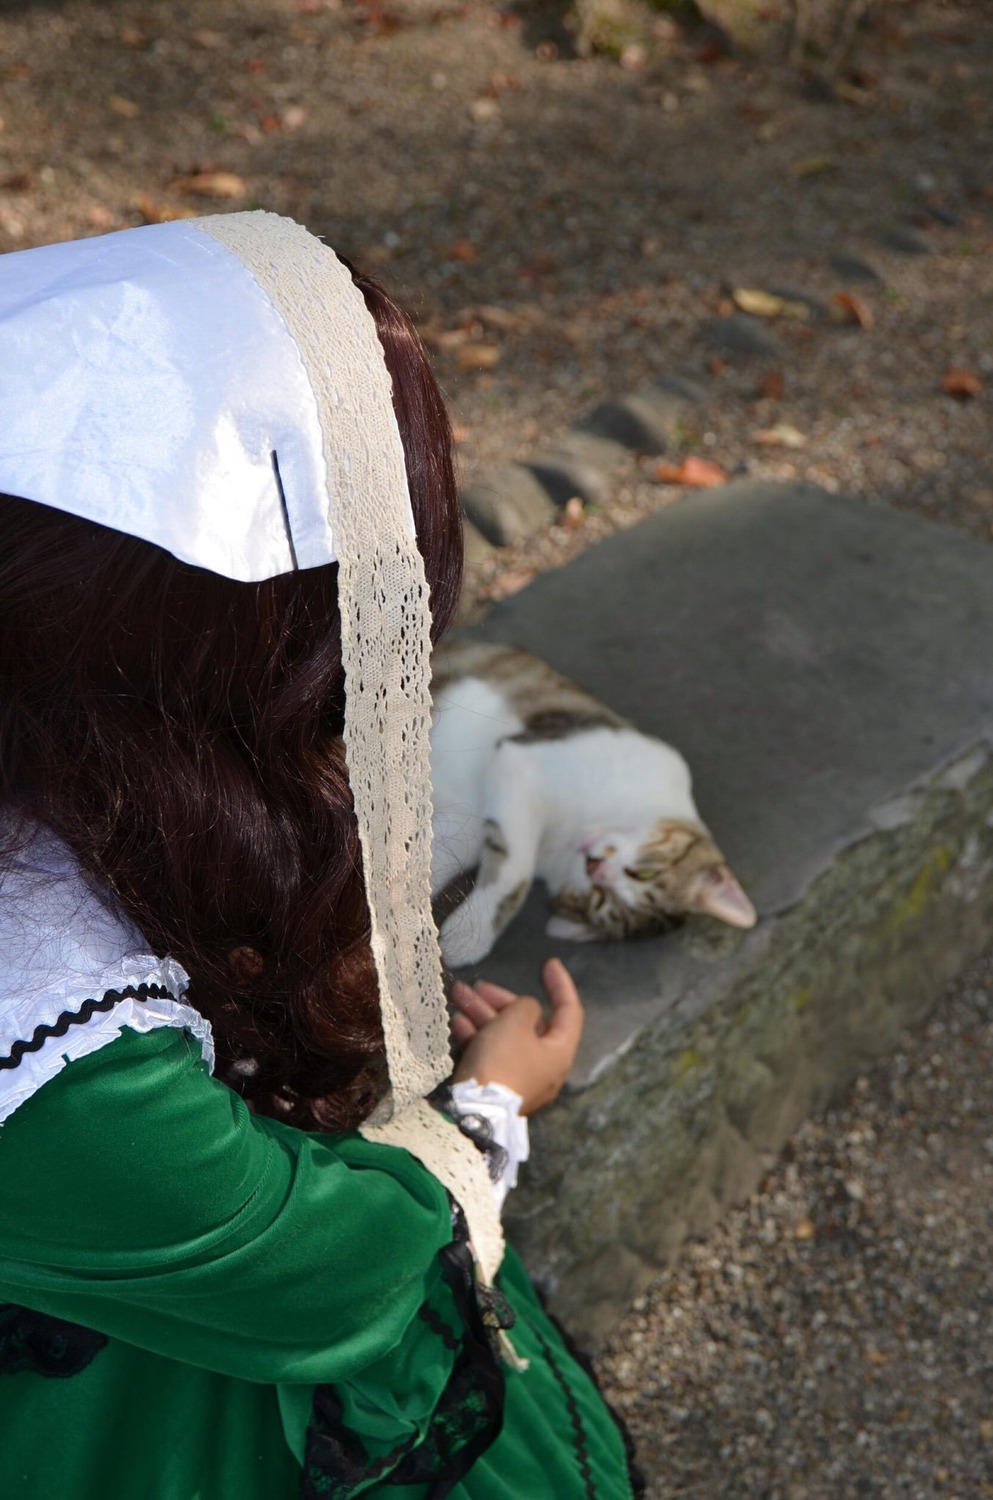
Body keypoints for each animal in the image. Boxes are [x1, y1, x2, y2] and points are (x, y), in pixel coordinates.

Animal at [432, 645, 759, 972]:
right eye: (645, 874)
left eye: (599, 899)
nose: (595, 866)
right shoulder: (522, 760)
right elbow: (516, 870)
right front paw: (470, 934)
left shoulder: (470, 820)